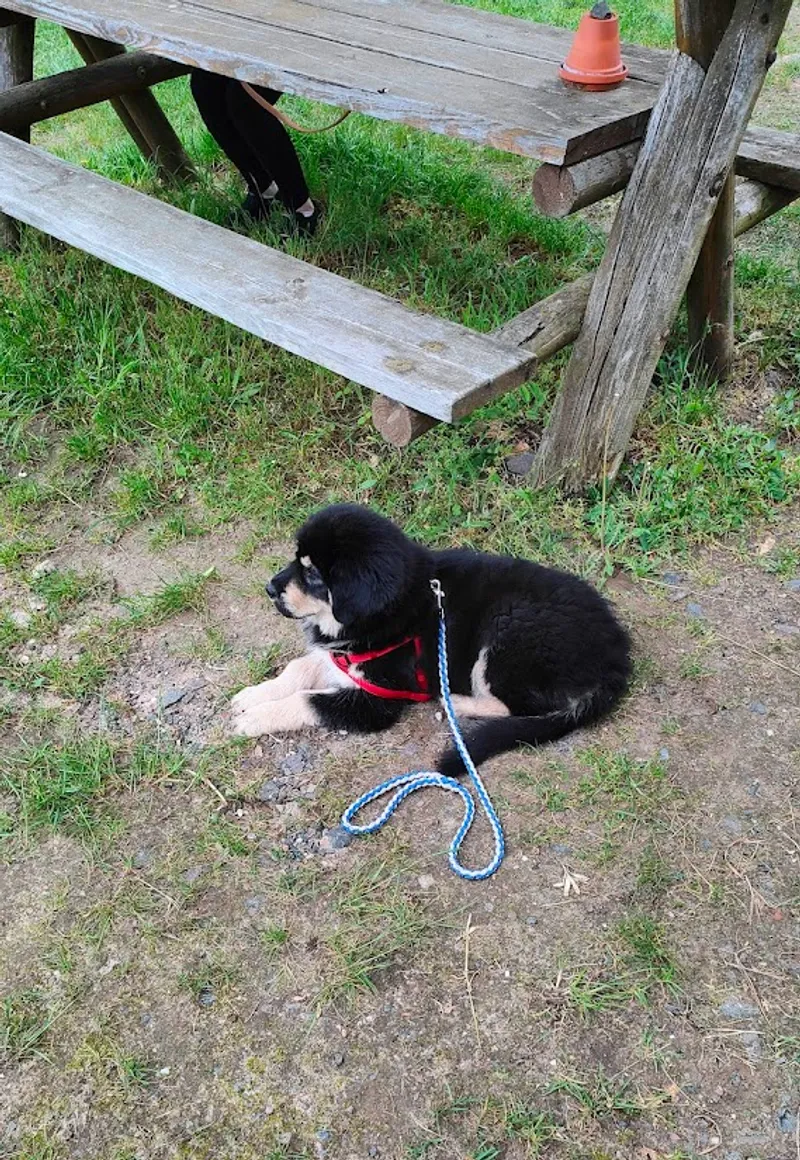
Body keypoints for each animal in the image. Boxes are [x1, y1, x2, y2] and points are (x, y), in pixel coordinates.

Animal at [230, 504, 631, 776]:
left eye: (312, 574)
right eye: (297, 561)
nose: (269, 589)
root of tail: (616, 659)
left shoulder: (379, 699)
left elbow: (307, 700)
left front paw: (254, 718)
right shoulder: (341, 655)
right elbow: (299, 668)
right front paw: (252, 695)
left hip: (507, 630)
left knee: (516, 707)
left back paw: (457, 701)